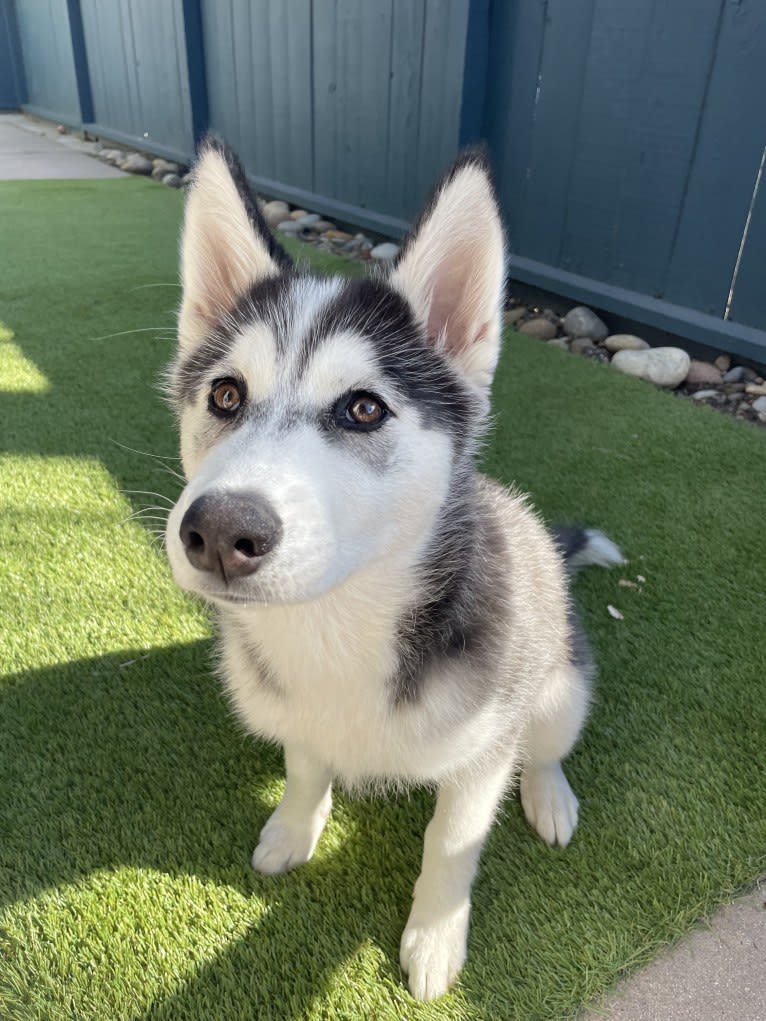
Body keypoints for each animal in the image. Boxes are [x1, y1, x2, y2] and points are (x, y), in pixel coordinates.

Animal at [163, 139, 625, 1000]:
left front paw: (434, 937)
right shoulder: (300, 719)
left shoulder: (482, 753)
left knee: (547, 744)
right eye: (226, 394)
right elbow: (305, 769)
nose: (219, 529)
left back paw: (549, 795)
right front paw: (293, 828)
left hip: (561, 684)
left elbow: (450, 843)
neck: (336, 626)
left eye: (364, 408)